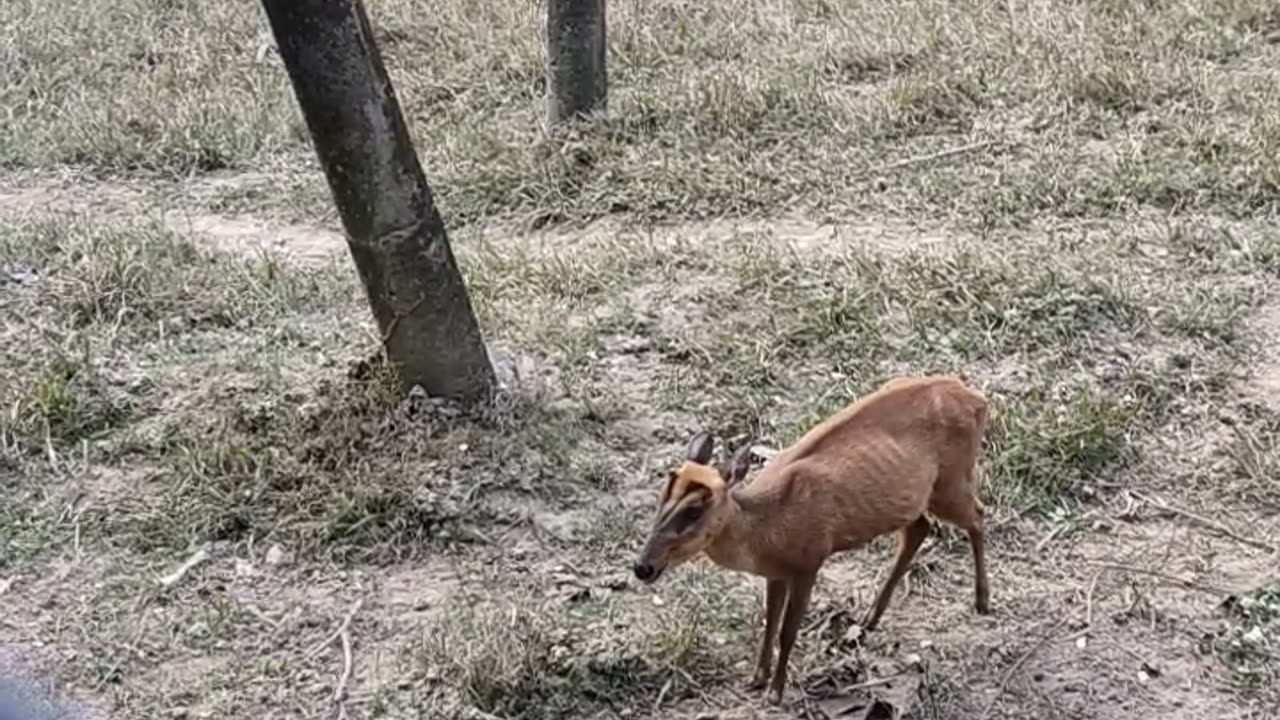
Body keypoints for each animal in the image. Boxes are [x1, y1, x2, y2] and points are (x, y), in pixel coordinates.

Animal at [629, 371, 988, 702]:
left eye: (694, 510)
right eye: (662, 494)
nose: (643, 567)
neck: (765, 529)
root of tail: (977, 399)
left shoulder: (809, 560)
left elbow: (788, 631)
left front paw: (775, 692)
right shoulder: (776, 573)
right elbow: (769, 624)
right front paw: (756, 679)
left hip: (951, 482)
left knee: (978, 515)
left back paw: (982, 601)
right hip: (913, 500)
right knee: (921, 528)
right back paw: (869, 619)